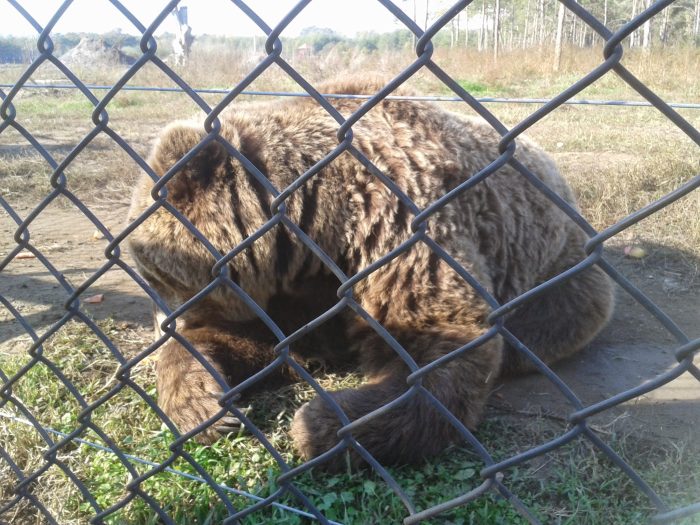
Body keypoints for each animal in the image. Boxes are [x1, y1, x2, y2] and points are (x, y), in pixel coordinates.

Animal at [126, 78, 614, 470]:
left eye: (154, 273)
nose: (162, 323)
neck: (313, 224)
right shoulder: (298, 290)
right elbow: (268, 342)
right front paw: (204, 404)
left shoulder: (399, 228)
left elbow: (435, 345)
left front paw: (321, 423)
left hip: (560, 260)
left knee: (555, 313)